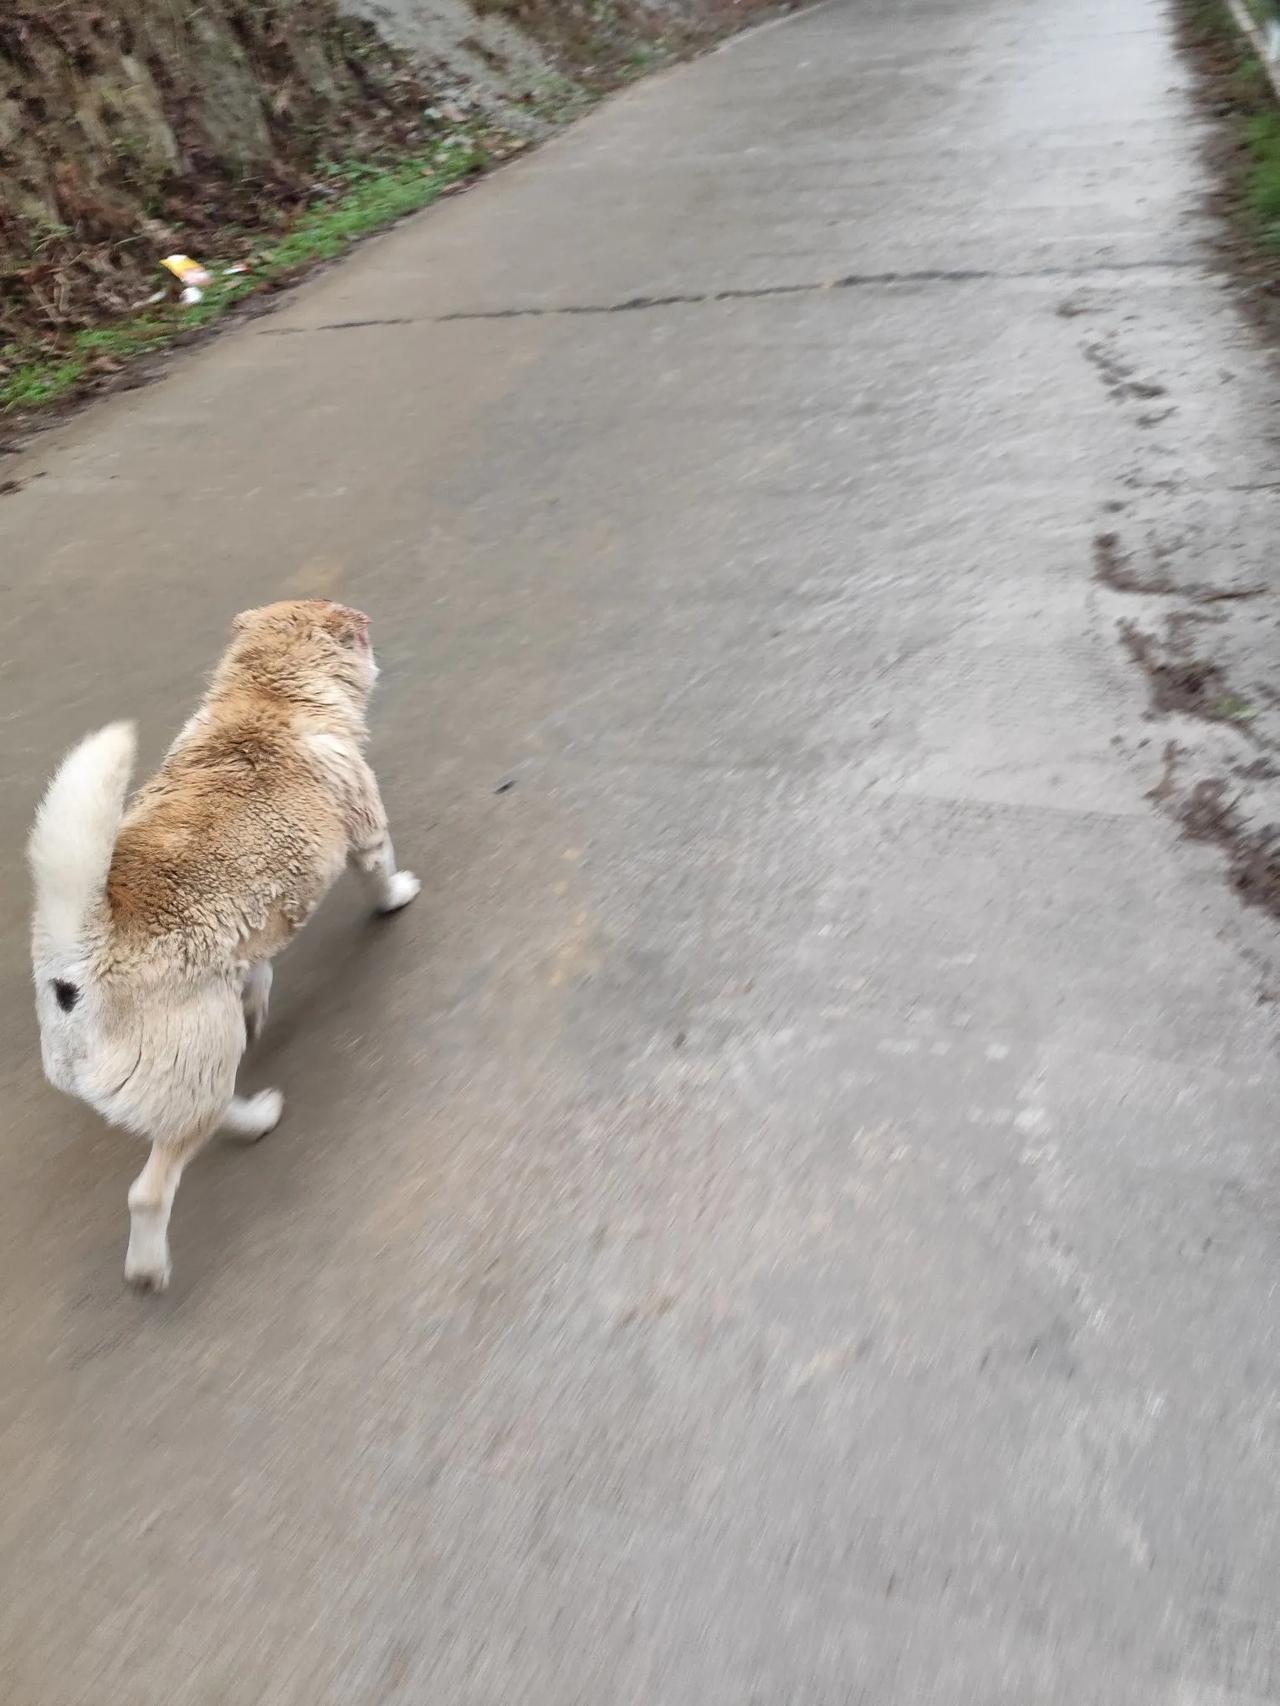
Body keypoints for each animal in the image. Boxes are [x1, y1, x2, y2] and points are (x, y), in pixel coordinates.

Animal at [27, 603, 421, 1289]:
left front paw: (259, 997)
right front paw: (397, 896)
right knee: (154, 1185)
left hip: (195, 1063)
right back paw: (155, 1259)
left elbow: (259, 969)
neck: (264, 695)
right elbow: (380, 870)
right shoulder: (365, 827)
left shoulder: (247, 934)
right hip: (198, 1058)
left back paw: (251, 1104)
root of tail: (79, 968)